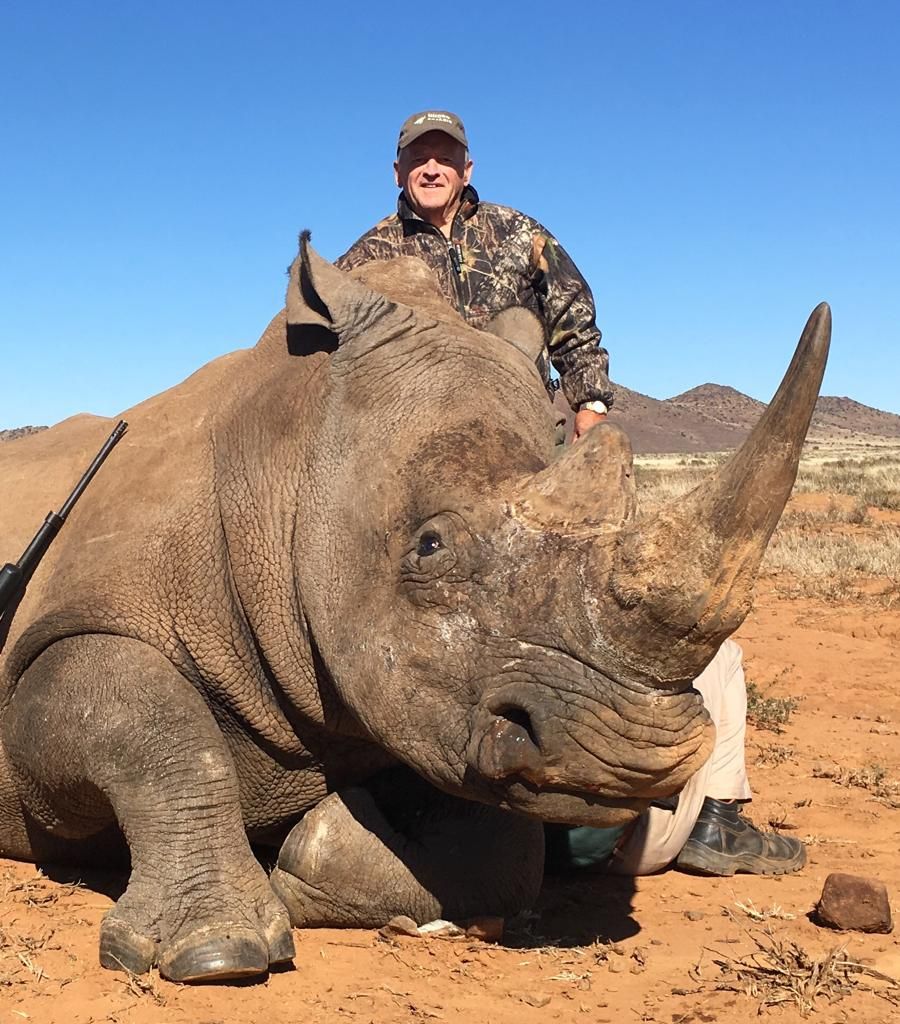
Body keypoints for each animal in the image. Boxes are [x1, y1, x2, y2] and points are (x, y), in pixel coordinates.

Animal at [0, 236, 830, 982]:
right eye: (430, 546)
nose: (631, 755)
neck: (288, 465)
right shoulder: (57, 640)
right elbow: (154, 730)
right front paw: (213, 953)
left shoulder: (433, 704)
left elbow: (501, 851)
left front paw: (314, 846)